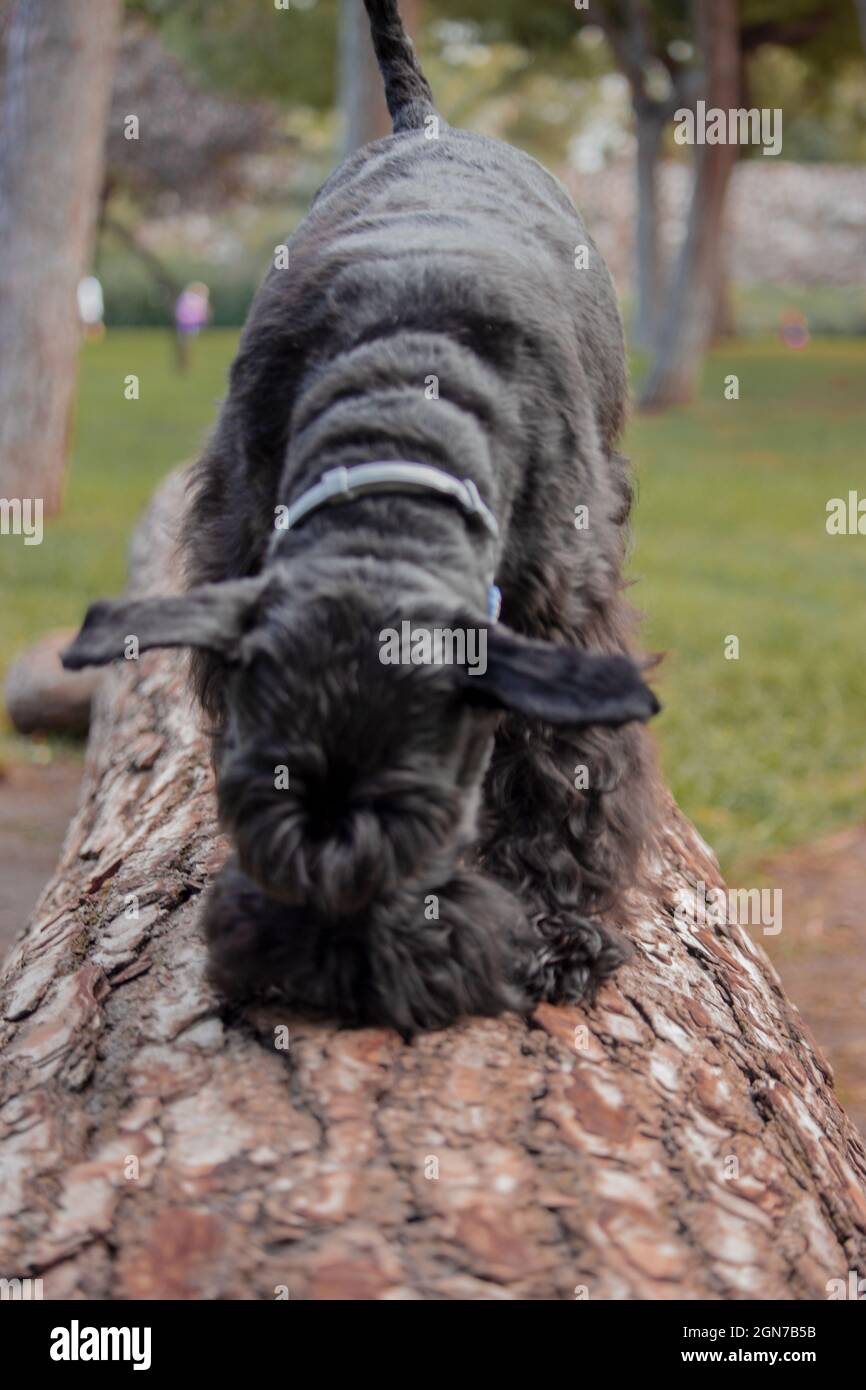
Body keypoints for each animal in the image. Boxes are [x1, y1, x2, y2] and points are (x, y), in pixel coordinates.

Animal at [64, 0, 661, 1039]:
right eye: (254, 805)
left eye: (425, 828)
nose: (322, 976)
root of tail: (428, 124)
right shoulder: (234, 544)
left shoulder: (563, 613)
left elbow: (568, 770)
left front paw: (559, 931)